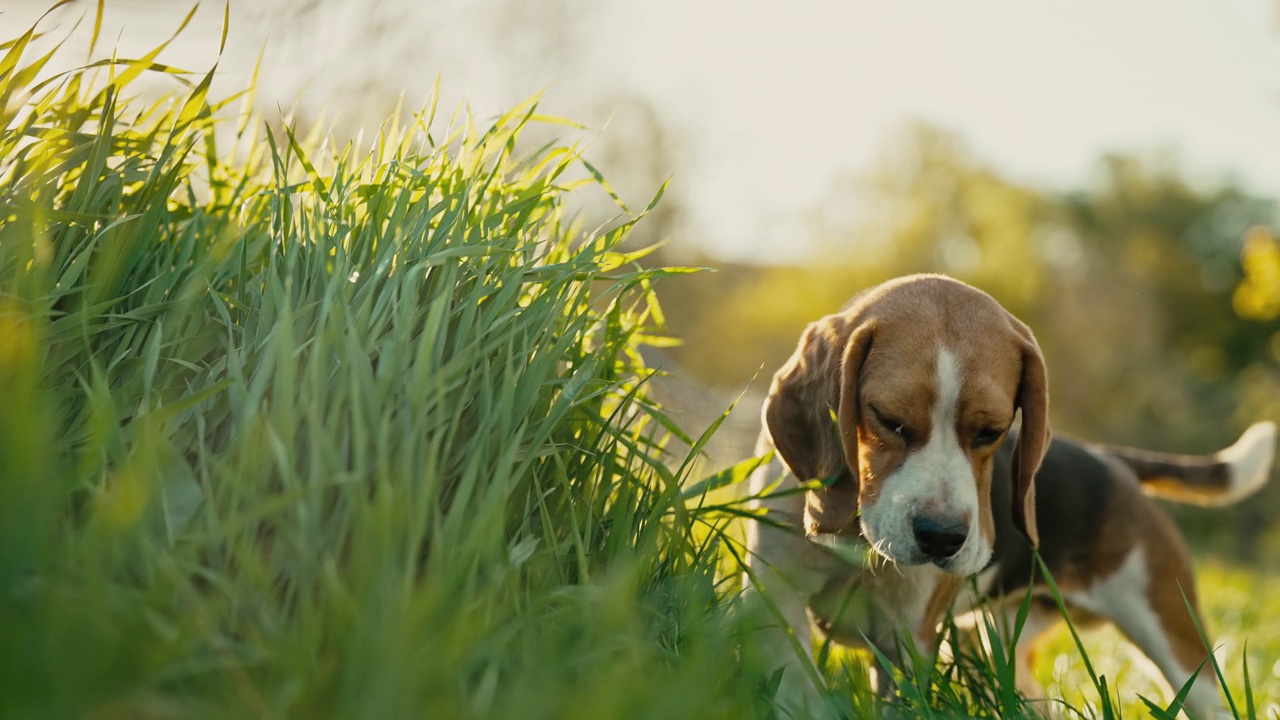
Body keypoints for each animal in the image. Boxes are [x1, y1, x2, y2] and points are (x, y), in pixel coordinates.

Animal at [747, 271, 1274, 712]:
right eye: (889, 421)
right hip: (996, 642)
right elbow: (794, 686)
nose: (942, 538)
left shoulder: (907, 639)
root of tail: (1112, 460)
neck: (856, 537)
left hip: (1173, 637)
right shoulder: (775, 602)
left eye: (991, 432)